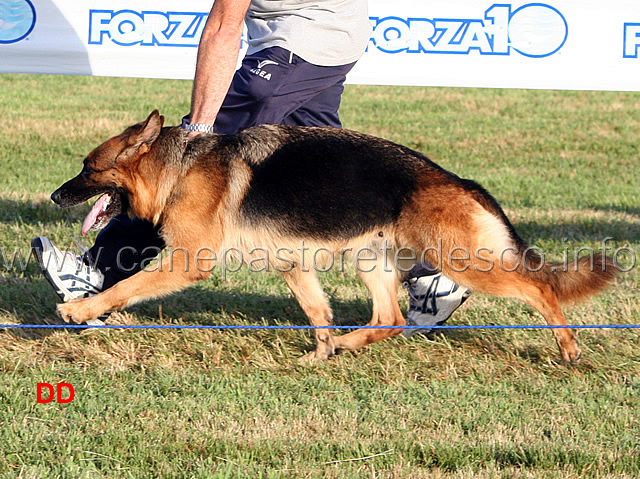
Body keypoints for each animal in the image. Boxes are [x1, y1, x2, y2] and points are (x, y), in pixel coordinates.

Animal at [51, 110, 616, 362]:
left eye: (86, 168)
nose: (55, 195)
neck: (181, 168)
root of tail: (459, 181)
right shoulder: (293, 264)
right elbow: (317, 311)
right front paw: (320, 353)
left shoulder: (189, 261)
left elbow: (126, 287)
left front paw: (81, 309)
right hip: (372, 261)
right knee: (388, 319)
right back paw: (345, 343)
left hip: (462, 261)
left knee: (539, 289)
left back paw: (568, 347)